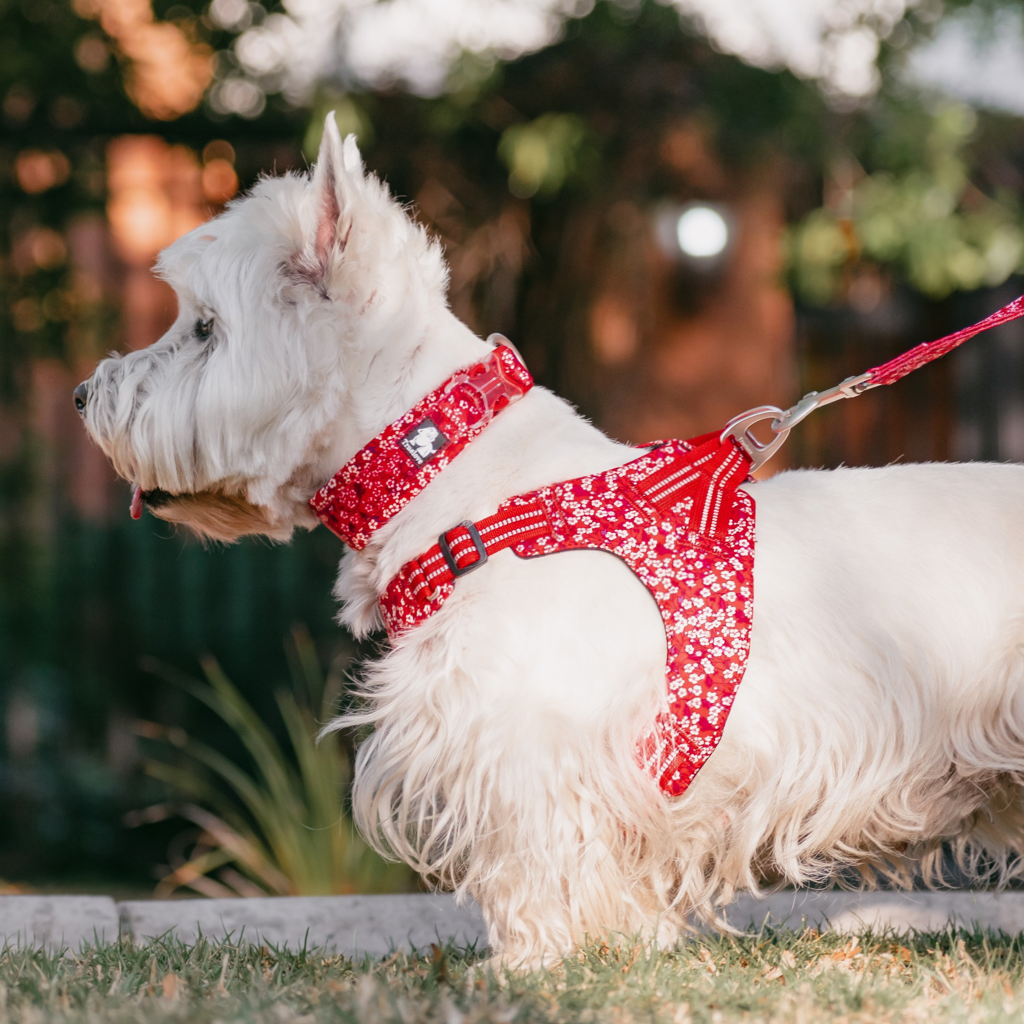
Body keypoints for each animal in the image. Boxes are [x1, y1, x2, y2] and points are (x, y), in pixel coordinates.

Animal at [79, 116, 1024, 962]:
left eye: (206, 328)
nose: (88, 396)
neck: (457, 481)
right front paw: (621, 946)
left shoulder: (528, 738)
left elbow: (537, 858)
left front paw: (536, 963)